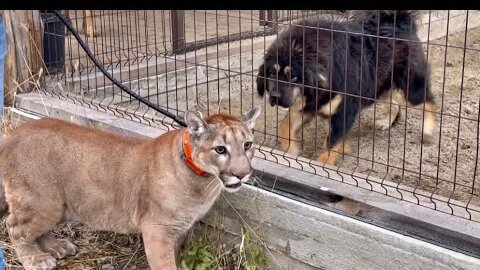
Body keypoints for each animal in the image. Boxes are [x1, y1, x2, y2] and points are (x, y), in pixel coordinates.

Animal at [256, 10, 436, 166]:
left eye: (294, 76)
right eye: (272, 73)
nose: (275, 96)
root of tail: (398, 20)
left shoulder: (343, 112)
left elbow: (331, 144)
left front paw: (322, 166)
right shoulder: (307, 105)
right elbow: (284, 126)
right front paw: (291, 151)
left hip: (410, 89)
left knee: (428, 101)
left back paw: (428, 132)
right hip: (376, 86)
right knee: (394, 100)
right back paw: (386, 122)